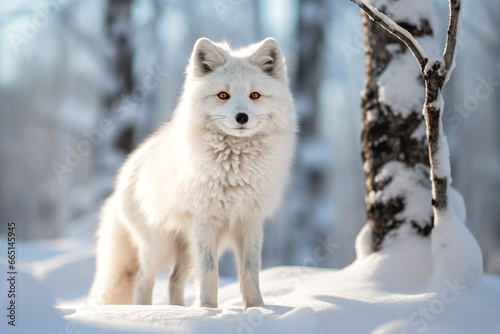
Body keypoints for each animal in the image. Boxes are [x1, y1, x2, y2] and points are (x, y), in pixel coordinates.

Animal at [90, 37, 296, 310]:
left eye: (255, 95)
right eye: (223, 95)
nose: (242, 117)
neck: (234, 170)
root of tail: (126, 170)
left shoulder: (250, 221)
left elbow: (250, 272)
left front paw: (257, 309)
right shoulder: (204, 221)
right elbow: (209, 272)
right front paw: (208, 310)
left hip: (187, 248)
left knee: (173, 281)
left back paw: (178, 310)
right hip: (160, 245)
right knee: (144, 279)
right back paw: (145, 310)